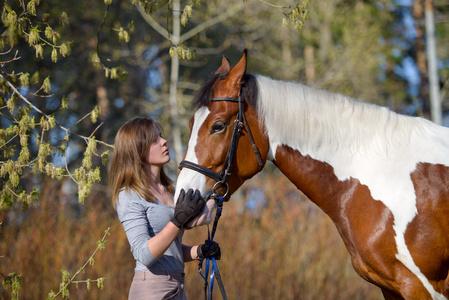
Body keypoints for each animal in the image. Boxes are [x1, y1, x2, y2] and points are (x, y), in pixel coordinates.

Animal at [174, 50, 448, 298]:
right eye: (190, 124)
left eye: (218, 126)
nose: (182, 200)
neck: (380, 176)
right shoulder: (390, 288)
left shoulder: (420, 286)